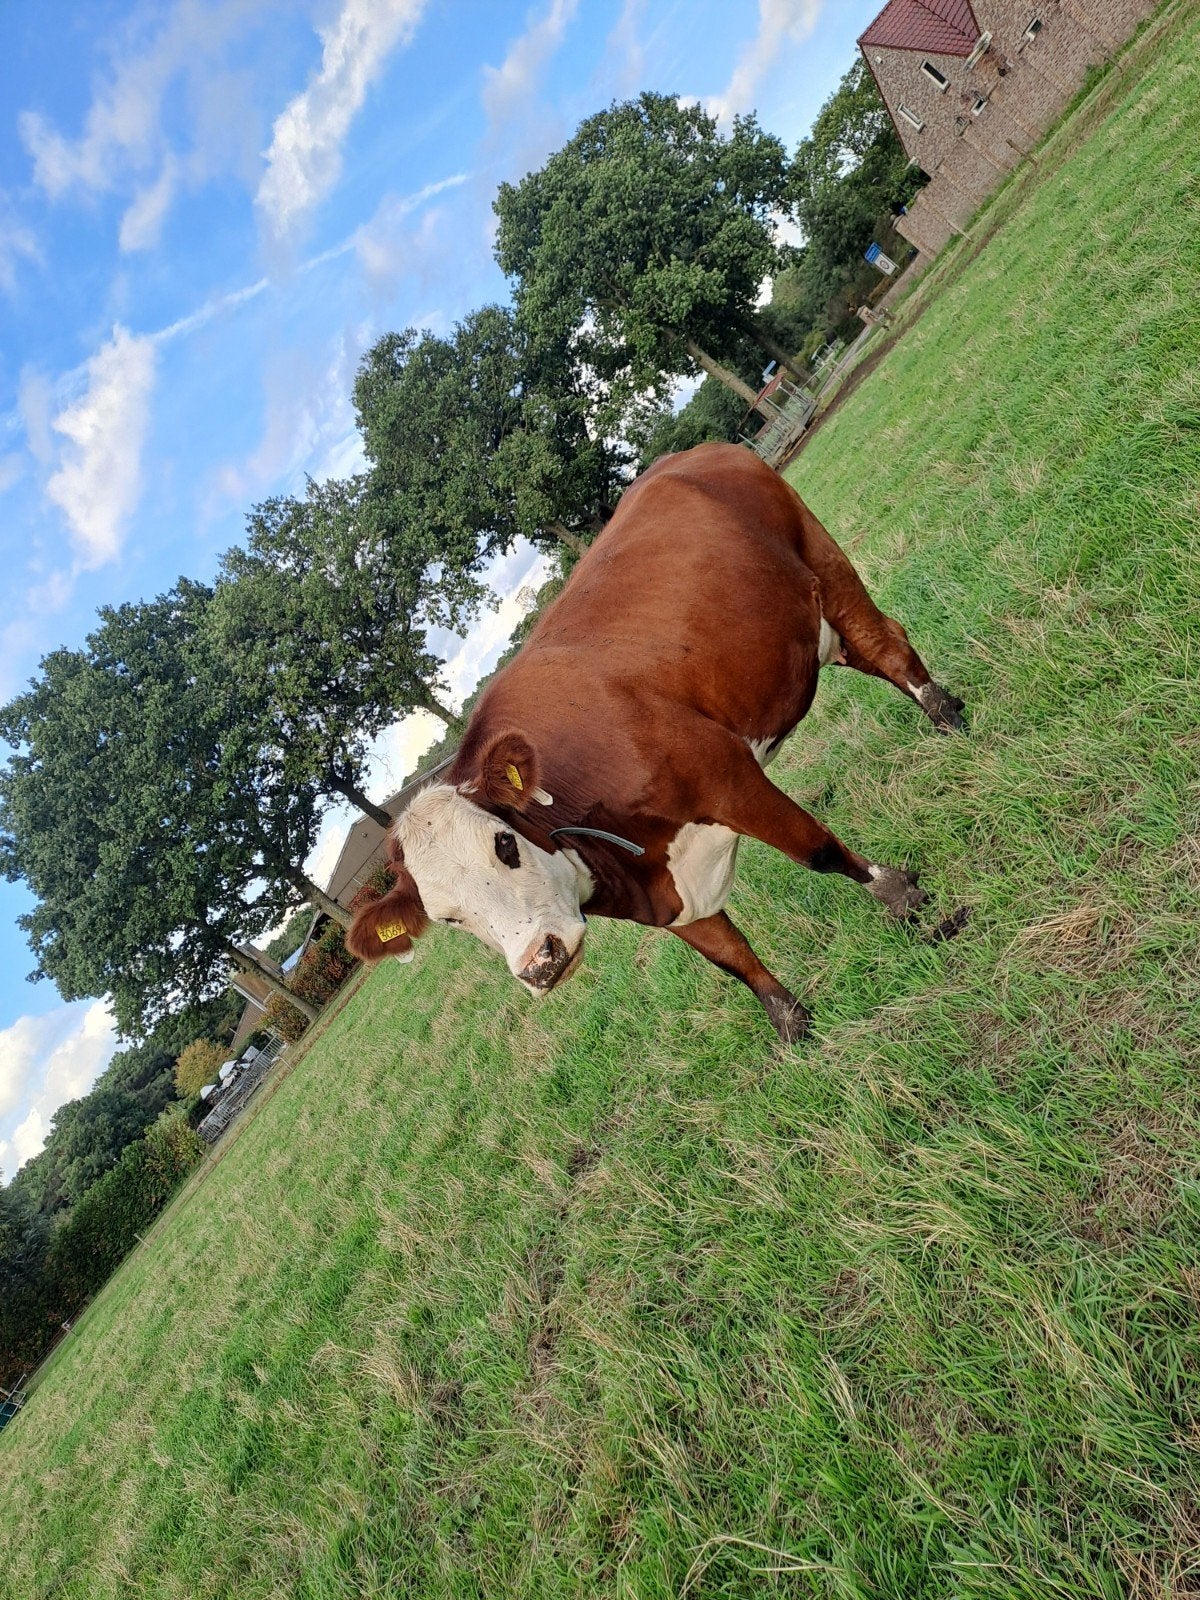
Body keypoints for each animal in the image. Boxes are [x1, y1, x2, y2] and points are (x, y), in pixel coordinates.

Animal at [347, 443, 964, 1043]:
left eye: (504, 844)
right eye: (448, 917)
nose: (539, 963)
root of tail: (688, 456)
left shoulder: (726, 774)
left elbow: (820, 852)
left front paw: (903, 896)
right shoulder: (663, 899)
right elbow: (730, 957)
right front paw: (790, 1024)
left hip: (823, 562)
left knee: (885, 645)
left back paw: (948, 721)